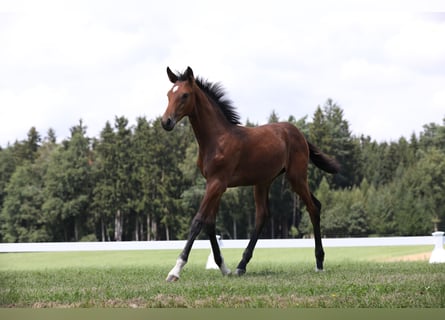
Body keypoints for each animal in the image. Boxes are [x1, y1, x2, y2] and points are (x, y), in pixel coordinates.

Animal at [161, 66, 338, 282]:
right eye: (169, 94)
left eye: (185, 95)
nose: (166, 122)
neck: (216, 139)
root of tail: (299, 134)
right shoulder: (214, 184)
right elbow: (210, 223)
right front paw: (223, 267)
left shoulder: (217, 183)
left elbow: (198, 221)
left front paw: (175, 270)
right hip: (264, 182)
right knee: (265, 215)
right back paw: (241, 265)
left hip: (296, 177)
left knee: (312, 208)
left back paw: (319, 263)